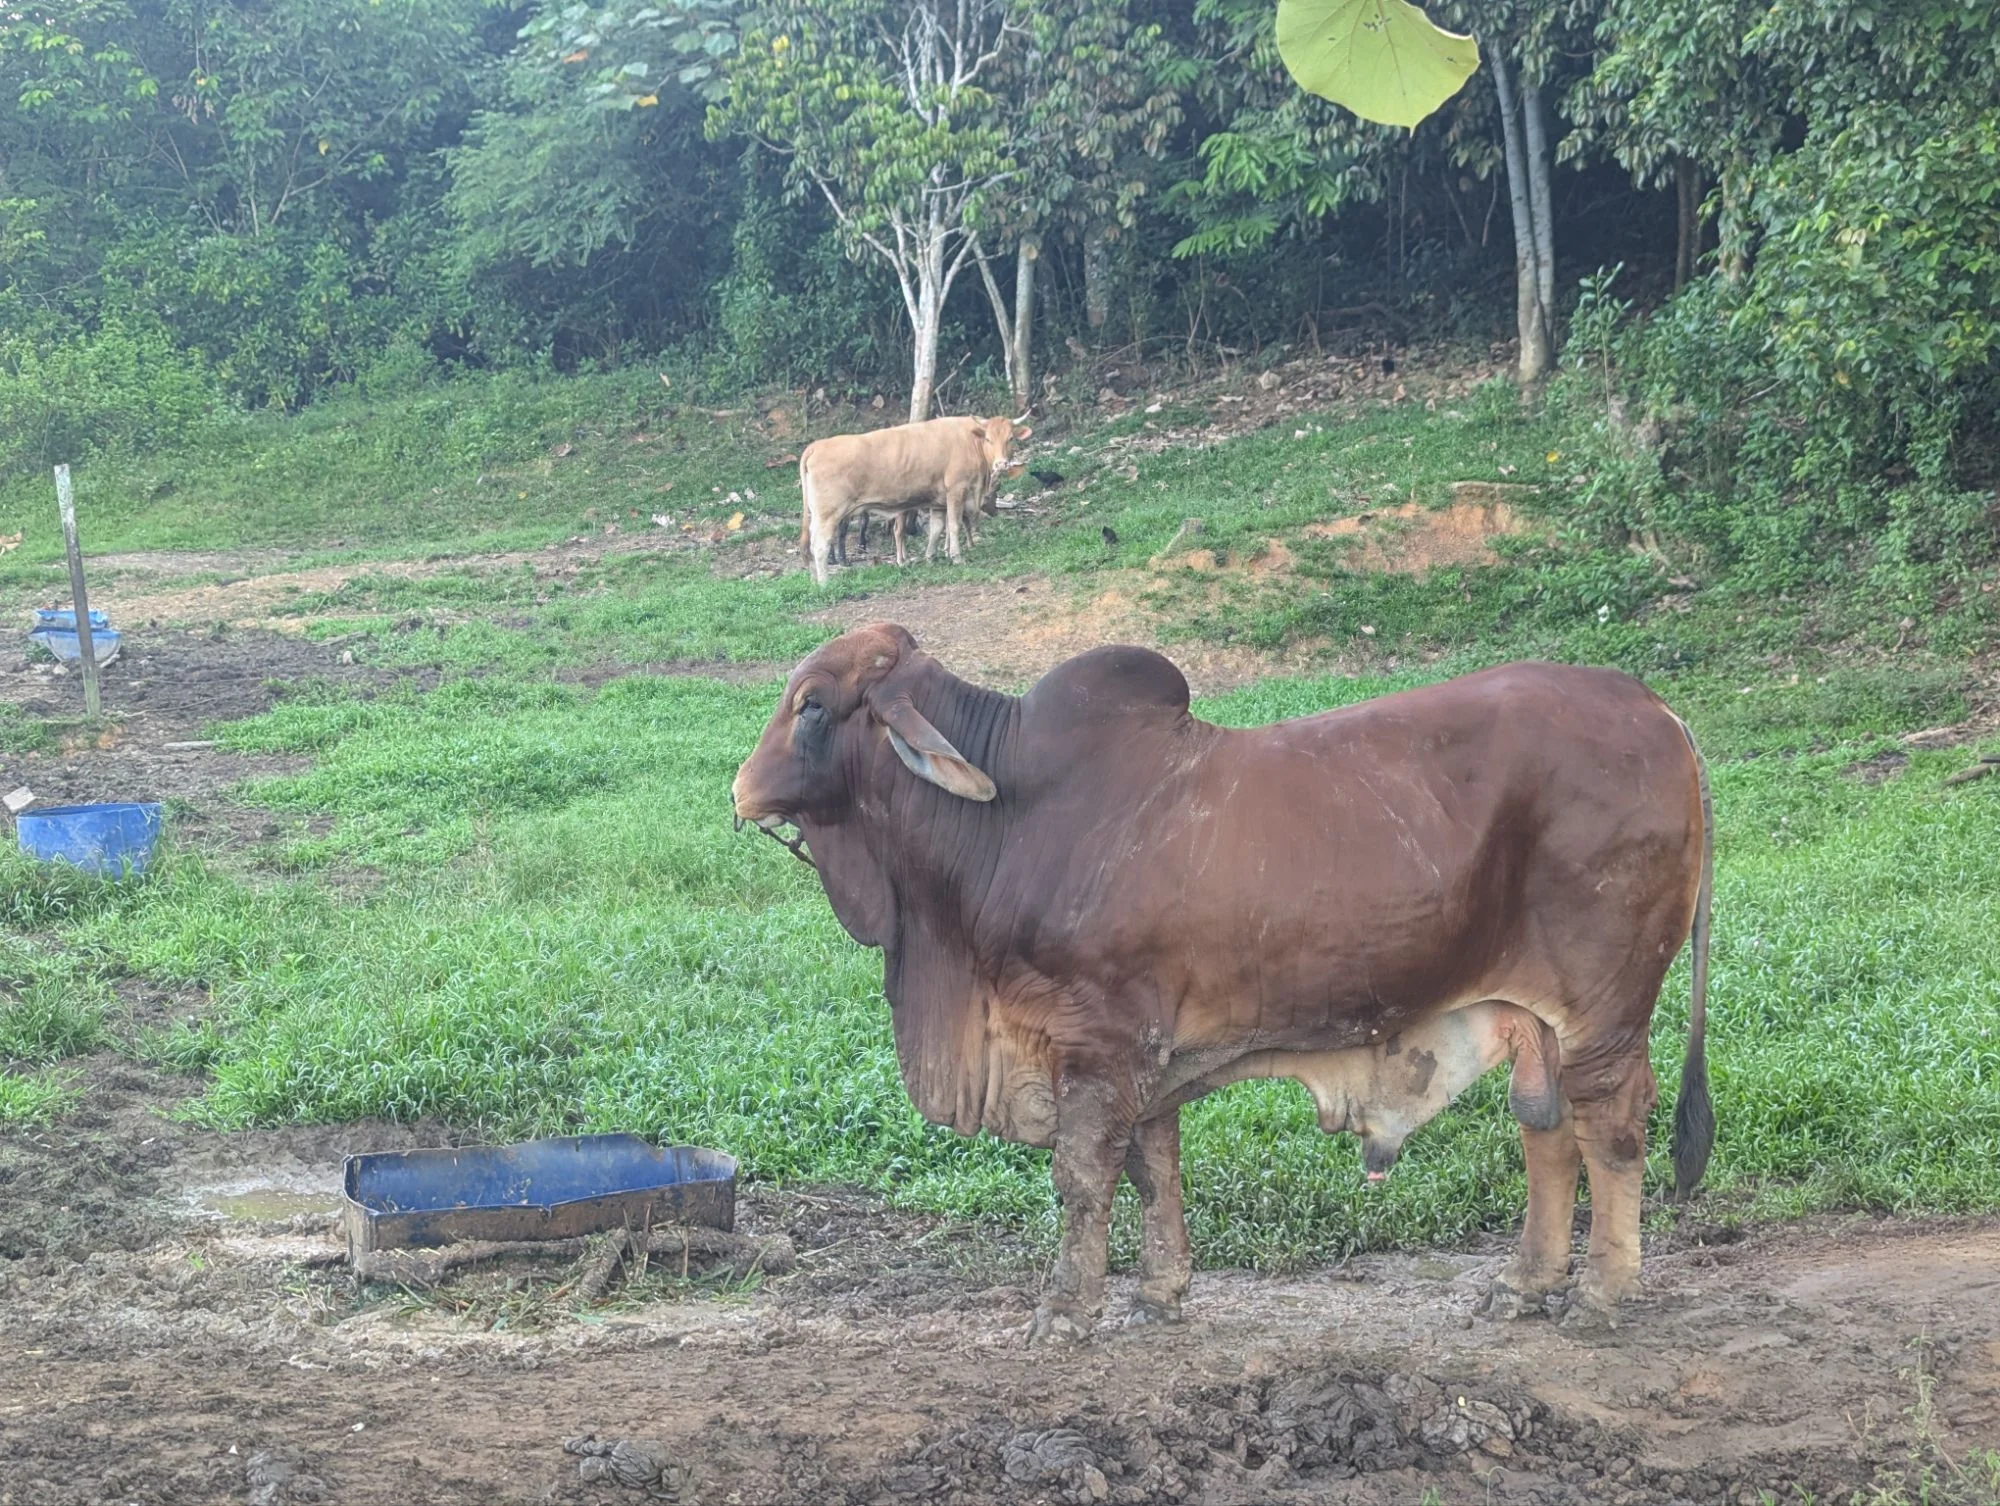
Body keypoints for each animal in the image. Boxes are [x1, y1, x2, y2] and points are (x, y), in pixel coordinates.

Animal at [731, 625, 1715, 1343]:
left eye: (812, 705)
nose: (740, 788)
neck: (1007, 821)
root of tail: (1659, 710)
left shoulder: (1099, 1038)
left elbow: (1083, 1177)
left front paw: (1066, 1311)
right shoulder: (1143, 1052)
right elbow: (1152, 1166)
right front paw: (1158, 1293)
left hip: (1606, 1007)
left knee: (1611, 1131)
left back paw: (1598, 1295)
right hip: (1531, 1013)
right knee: (1546, 1131)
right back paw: (1524, 1283)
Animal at [798, 416, 1031, 585]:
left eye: (1010, 438)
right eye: (989, 439)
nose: (1002, 464)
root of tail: (817, 445)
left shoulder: (939, 501)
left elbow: (937, 528)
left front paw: (930, 557)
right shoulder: (956, 490)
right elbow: (954, 525)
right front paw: (956, 557)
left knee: (809, 545)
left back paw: (814, 579)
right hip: (828, 514)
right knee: (820, 546)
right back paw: (825, 582)